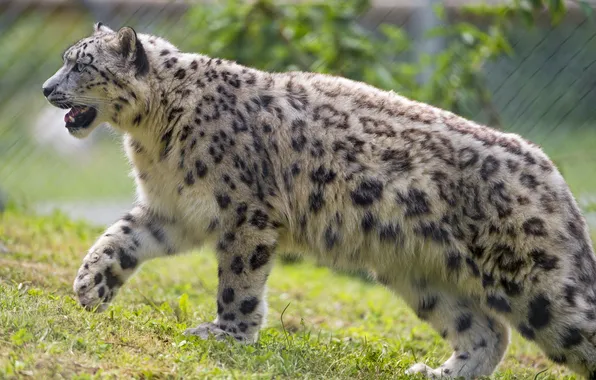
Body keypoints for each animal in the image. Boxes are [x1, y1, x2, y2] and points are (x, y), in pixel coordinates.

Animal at [42, 24, 596, 380]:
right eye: (66, 59)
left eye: (82, 64)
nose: (47, 88)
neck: (152, 139)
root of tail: (555, 176)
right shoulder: (174, 210)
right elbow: (119, 237)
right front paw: (90, 287)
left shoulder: (246, 213)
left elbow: (237, 283)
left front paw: (227, 335)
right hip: (422, 278)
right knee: (488, 332)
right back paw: (436, 372)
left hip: (540, 287)